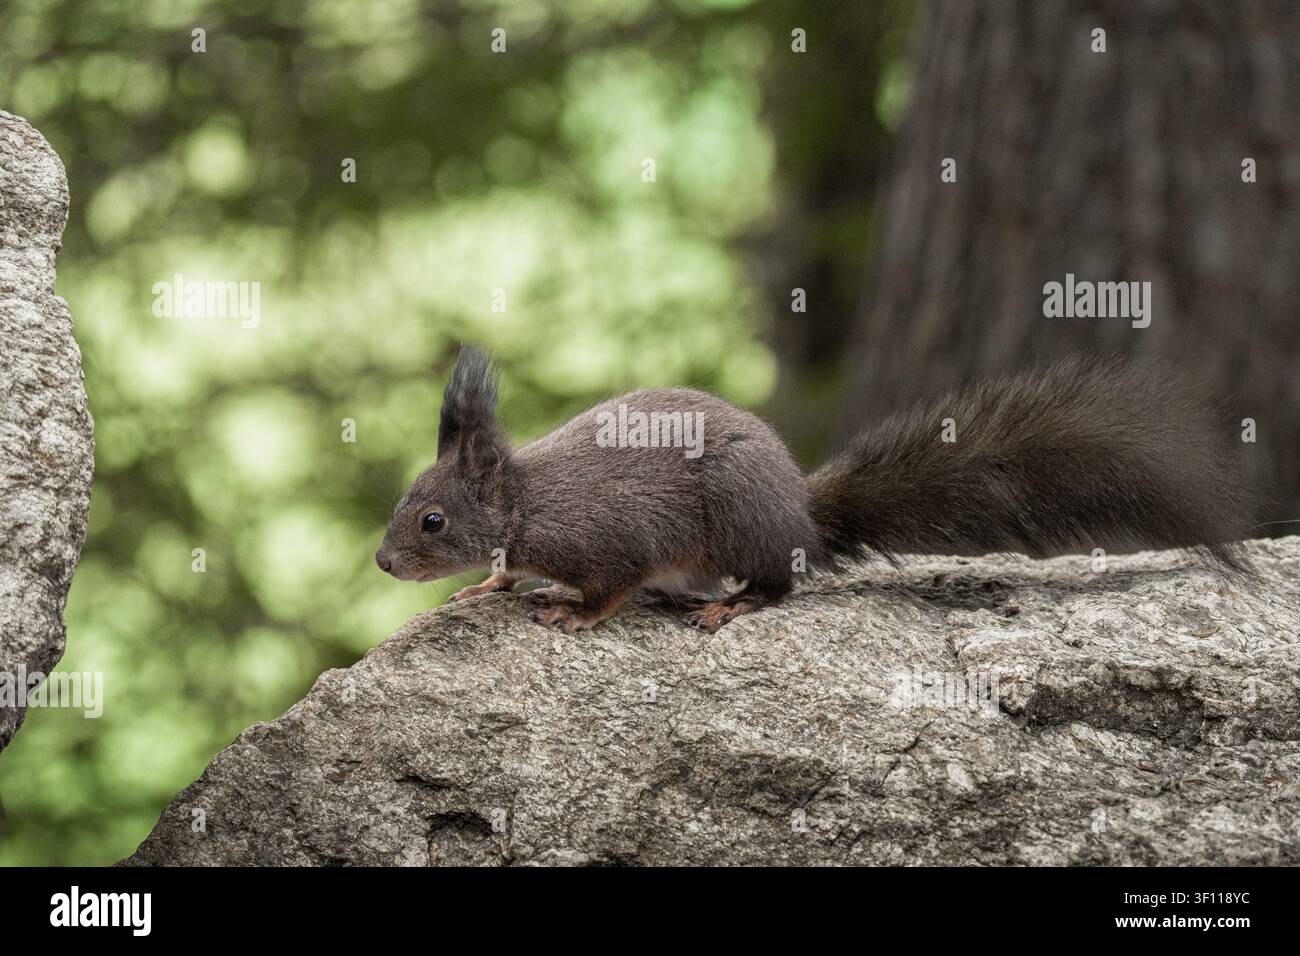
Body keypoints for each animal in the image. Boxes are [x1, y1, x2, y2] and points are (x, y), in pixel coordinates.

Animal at [375, 347, 1253, 633]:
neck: (527, 505)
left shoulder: (613, 539)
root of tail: (799, 516)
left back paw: (732, 605)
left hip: (737, 523)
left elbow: (612, 585)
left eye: (432, 520)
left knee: (778, 584)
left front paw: (574, 613)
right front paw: (482, 587)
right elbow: (503, 574)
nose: (382, 564)